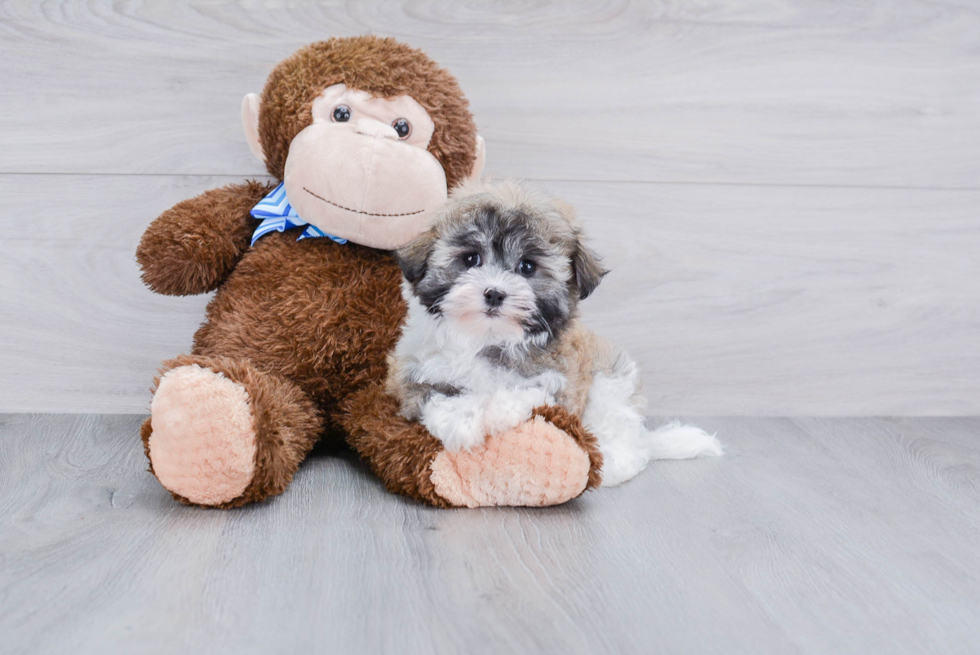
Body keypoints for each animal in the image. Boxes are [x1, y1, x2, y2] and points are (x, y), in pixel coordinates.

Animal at [384, 179, 720, 486]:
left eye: (527, 267)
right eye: (470, 259)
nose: (494, 293)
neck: (489, 339)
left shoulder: (554, 383)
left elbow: (516, 391)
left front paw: (479, 414)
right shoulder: (412, 376)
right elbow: (433, 396)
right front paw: (458, 419)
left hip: (610, 385)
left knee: (627, 447)